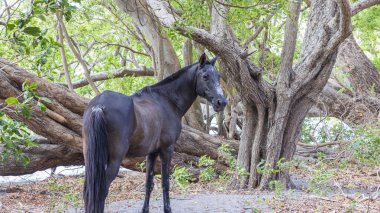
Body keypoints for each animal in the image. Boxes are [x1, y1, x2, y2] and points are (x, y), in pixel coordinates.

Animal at [83, 52, 226, 211]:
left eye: (218, 76)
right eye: (205, 76)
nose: (221, 102)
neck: (166, 100)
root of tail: (99, 106)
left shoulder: (151, 153)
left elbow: (148, 184)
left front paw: (145, 209)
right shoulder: (167, 149)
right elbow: (165, 183)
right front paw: (167, 209)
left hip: (90, 161)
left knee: (88, 191)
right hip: (114, 160)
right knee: (101, 191)